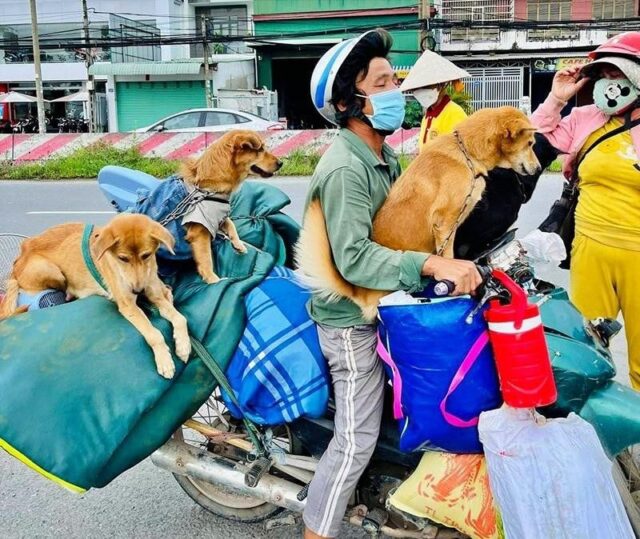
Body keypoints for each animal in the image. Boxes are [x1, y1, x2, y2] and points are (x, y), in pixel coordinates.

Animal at [0, 214, 190, 380]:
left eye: (146, 255)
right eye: (123, 258)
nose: (138, 291)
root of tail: (18, 259)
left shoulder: (155, 295)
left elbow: (180, 318)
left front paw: (183, 346)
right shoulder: (128, 306)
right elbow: (154, 334)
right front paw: (164, 360)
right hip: (51, 271)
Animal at [179, 130, 282, 284]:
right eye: (260, 150)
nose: (281, 163)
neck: (207, 186)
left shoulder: (217, 216)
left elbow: (231, 224)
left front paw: (239, 244)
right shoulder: (199, 231)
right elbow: (206, 259)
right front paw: (213, 280)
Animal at [296, 107, 540, 322]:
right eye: (529, 144)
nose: (538, 169)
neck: (466, 153)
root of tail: (359, 294)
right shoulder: (445, 225)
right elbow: (449, 258)